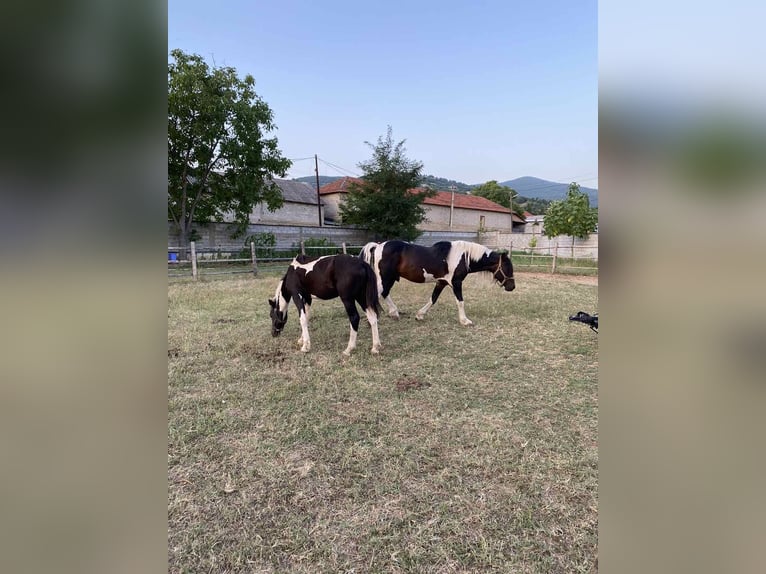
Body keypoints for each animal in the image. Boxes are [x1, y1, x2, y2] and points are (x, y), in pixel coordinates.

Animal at [360, 240, 516, 328]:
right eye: (507, 267)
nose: (512, 287)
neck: (464, 256)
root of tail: (378, 246)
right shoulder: (456, 283)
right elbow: (460, 301)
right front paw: (465, 321)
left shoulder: (441, 283)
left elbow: (433, 299)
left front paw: (420, 315)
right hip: (385, 278)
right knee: (378, 294)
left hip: (390, 278)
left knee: (384, 293)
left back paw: (393, 313)